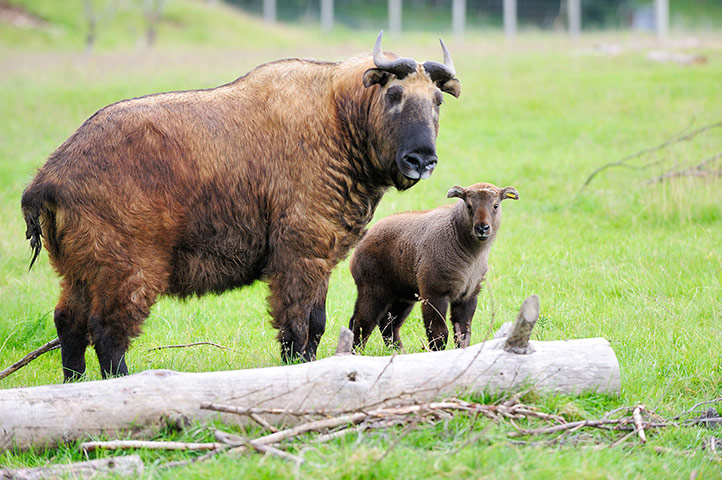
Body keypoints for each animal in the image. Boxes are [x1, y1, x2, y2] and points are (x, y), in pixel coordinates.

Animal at [21, 31, 461, 381]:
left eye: (437, 100)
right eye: (394, 94)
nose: (422, 160)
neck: (337, 119)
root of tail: (50, 177)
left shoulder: (321, 259)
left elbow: (317, 326)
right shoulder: (298, 259)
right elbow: (296, 330)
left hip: (80, 273)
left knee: (69, 325)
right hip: (129, 272)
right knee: (109, 336)